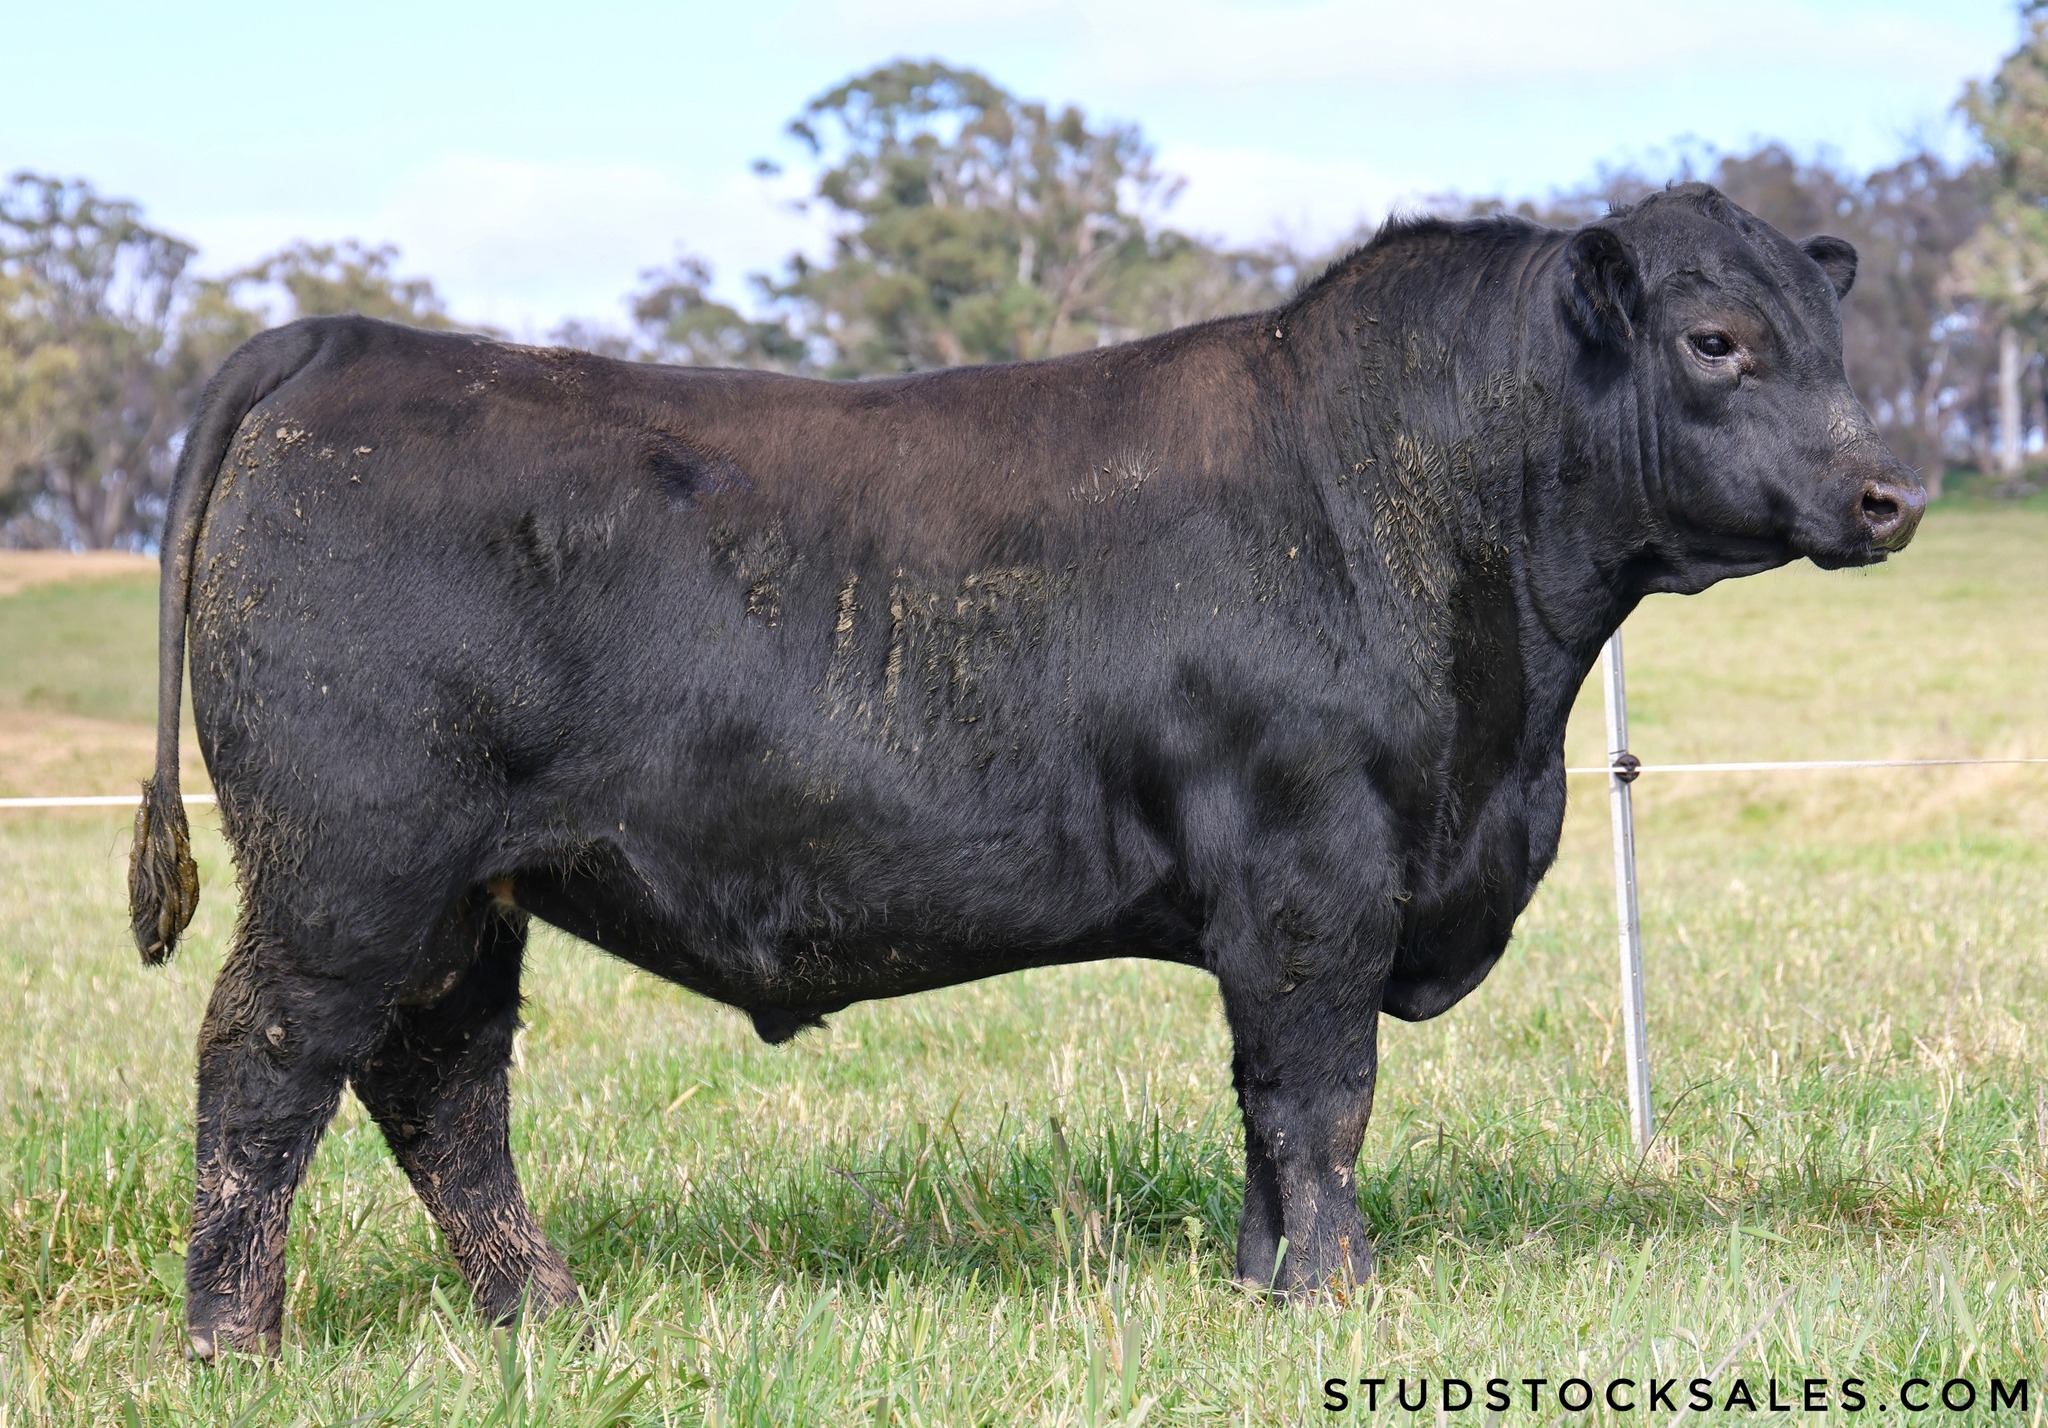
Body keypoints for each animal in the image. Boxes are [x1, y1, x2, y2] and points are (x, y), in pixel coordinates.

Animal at [129, 183, 1923, 1357]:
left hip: (465, 892)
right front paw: (1337, 1294)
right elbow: (1320, 1090)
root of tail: (347, 343)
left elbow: (1263, 1105)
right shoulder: (1313, 878)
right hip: (351, 865)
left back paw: (544, 1314)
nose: (1889, 493)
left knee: (440, 1086)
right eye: (1715, 341)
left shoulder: (1282, 902)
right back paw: (236, 1341)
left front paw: (1260, 1286)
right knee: (267, 1065)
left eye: (1833, 331)